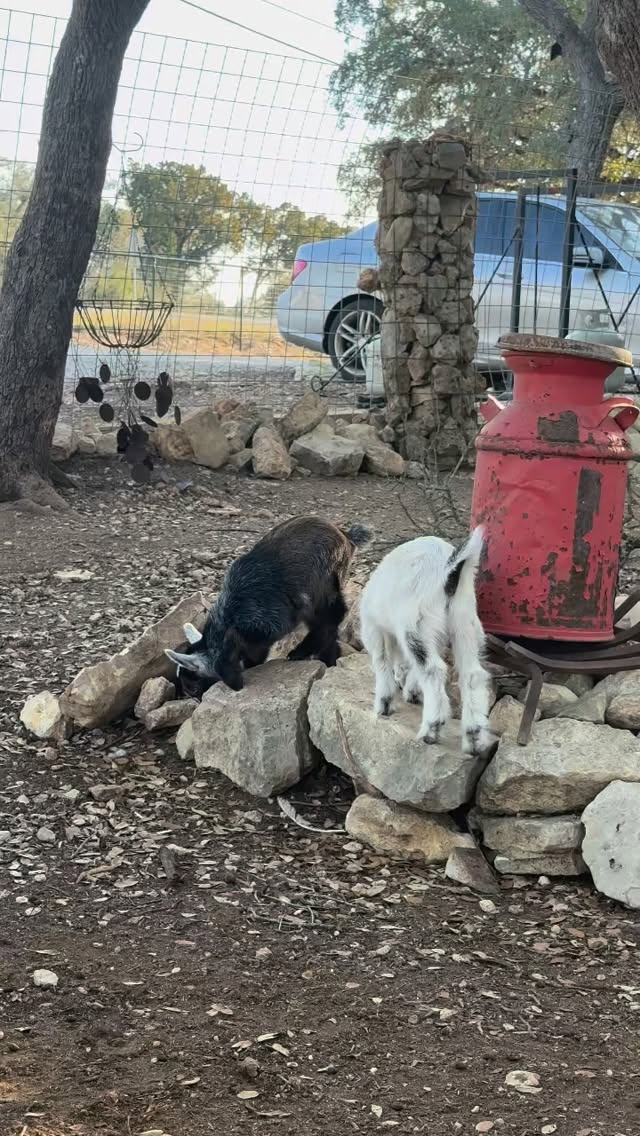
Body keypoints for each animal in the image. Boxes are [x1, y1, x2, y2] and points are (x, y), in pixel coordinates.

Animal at [166, 515, 372, 698]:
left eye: (192, 686)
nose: (195, 697)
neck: (230, 615)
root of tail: (345, 534)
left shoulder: (269, 621)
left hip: (324, 586)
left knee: (332, 618)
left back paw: (301, 652)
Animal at [359, 527, 492, 756]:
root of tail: (450, 568)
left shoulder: (374, 629)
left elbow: (382, 661)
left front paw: (384, 705)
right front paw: (411, 691)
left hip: (416, 624)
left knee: (433, 670)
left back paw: (431, 729)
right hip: (464, 623)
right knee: (472, 674)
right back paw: (474, 737)